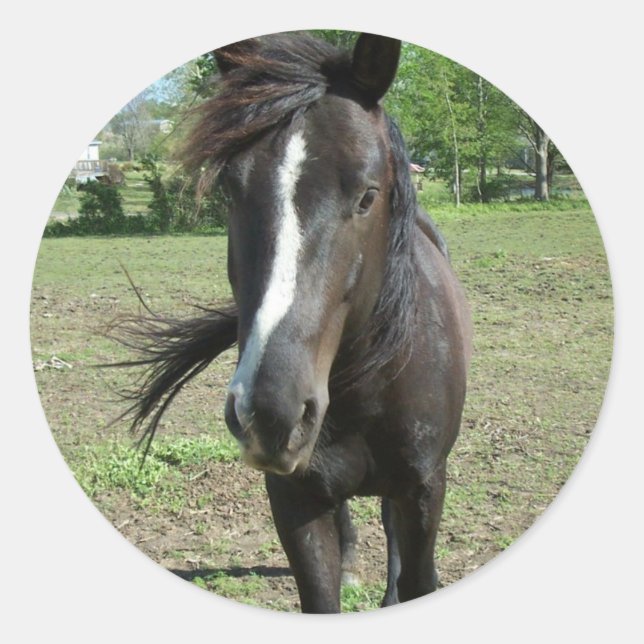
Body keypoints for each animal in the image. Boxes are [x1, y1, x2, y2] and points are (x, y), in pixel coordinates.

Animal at [117, 32, 472, 613]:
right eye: (230, 190)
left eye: (368, 195)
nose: (269, 414)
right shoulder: (294, 500)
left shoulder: (424, 491)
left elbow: (416, 572)